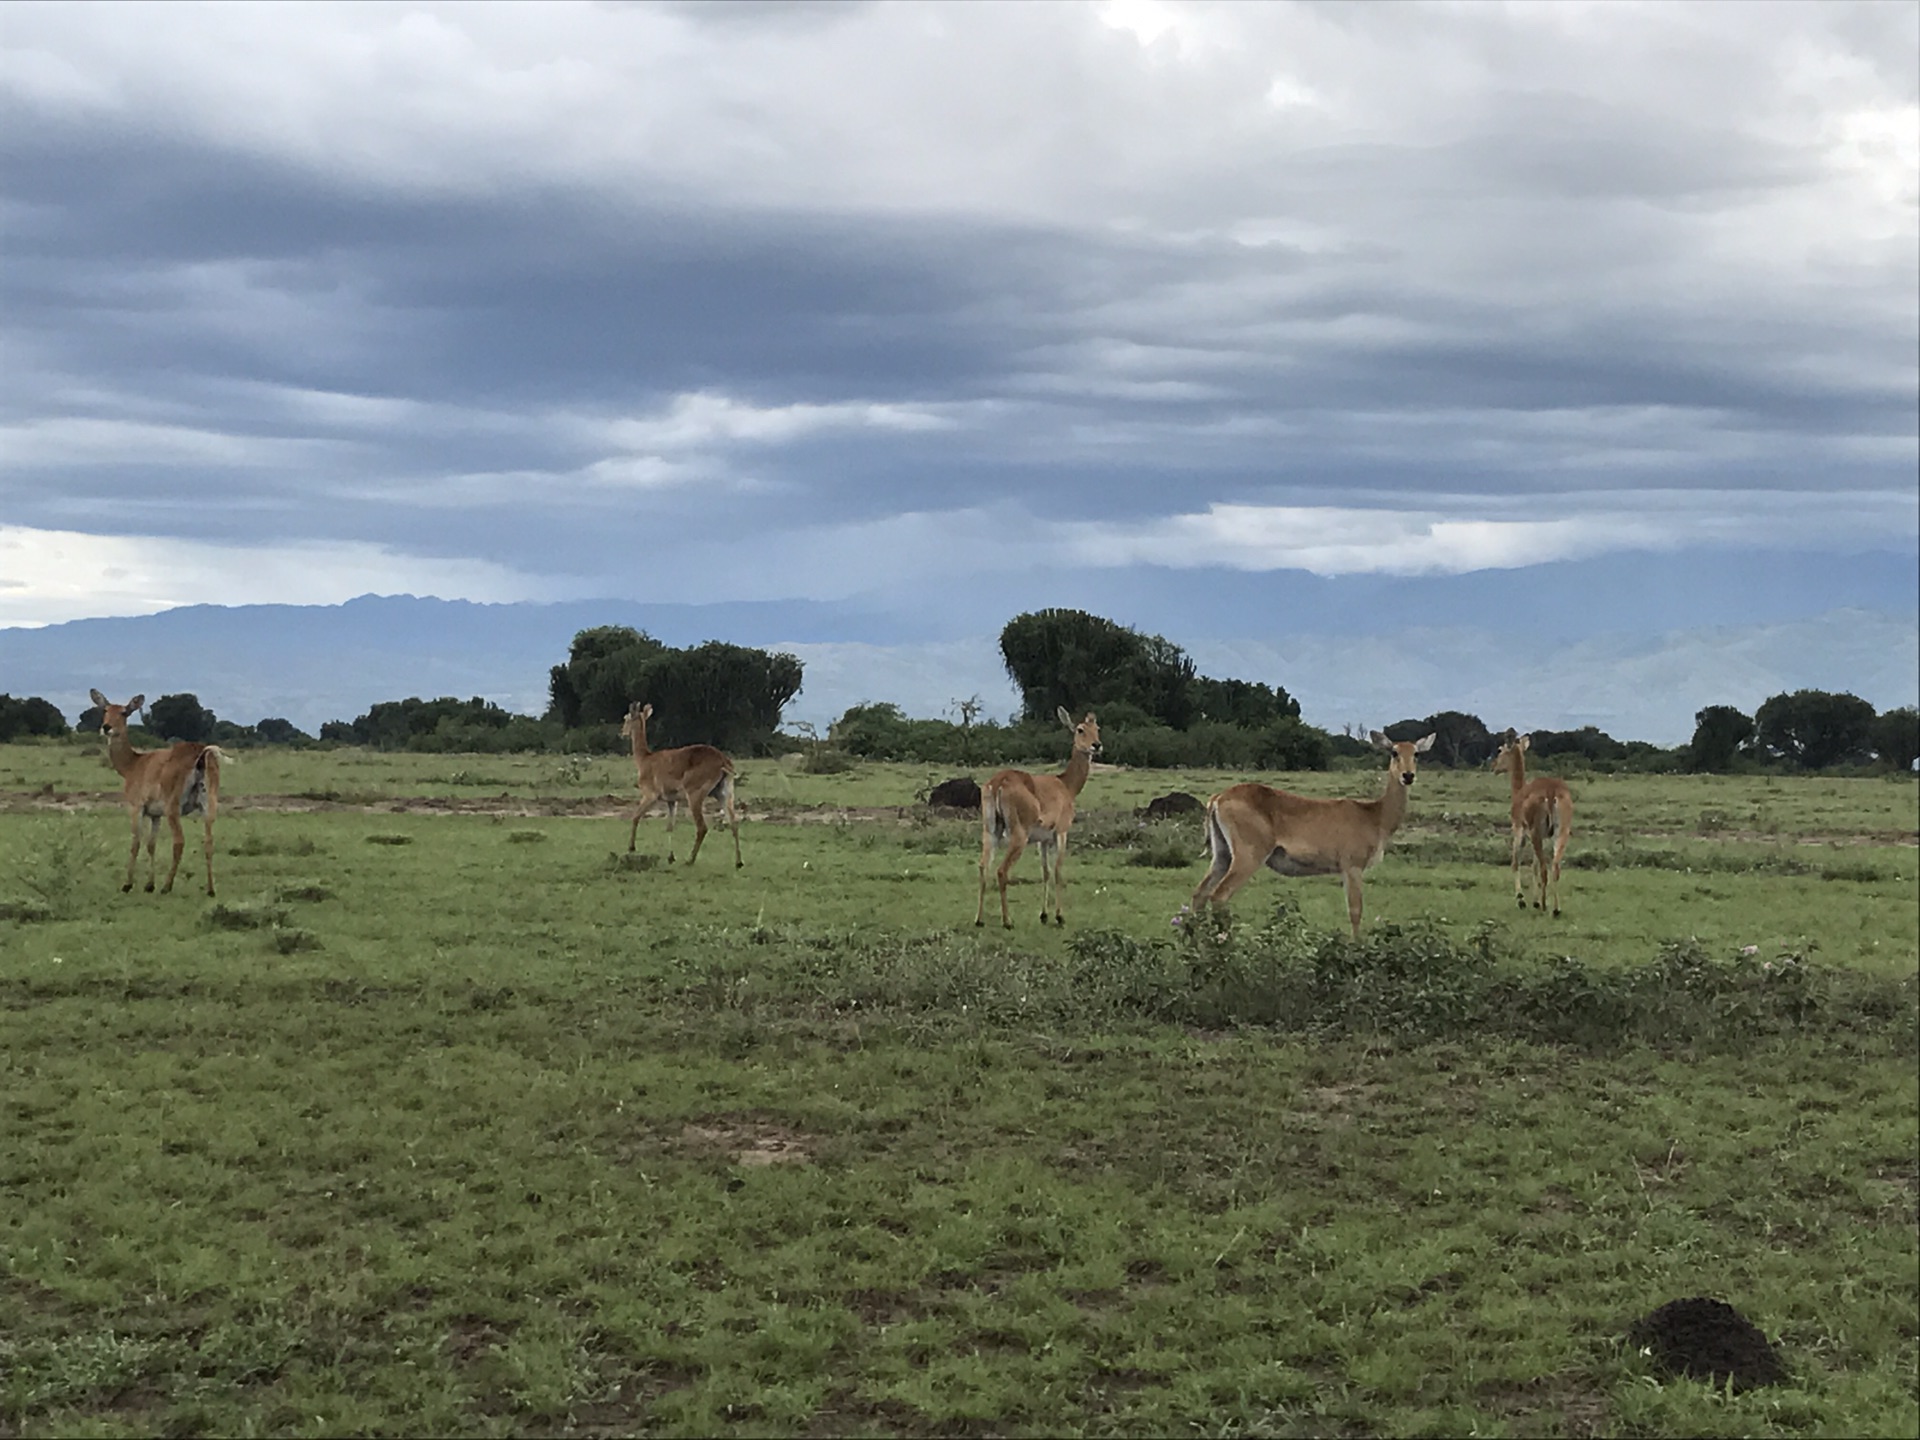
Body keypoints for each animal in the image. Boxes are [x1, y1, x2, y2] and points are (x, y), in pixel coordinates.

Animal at [91, 691, 230, 902]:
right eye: (105, 710)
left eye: (124, 712)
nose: (107, 727)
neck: (133, 765)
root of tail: (201, 753)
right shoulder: (155, 815)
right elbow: (151, 845)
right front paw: (149, 885)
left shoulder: (136, 808)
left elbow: (136, 843)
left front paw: (128, 884)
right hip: (208, 806)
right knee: (209, 842)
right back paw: (210, 889)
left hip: (174, 809)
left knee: (179, 842)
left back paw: (167, 886)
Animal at [618, 698, 737, 867]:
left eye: (627, 717)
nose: (622, 733)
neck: (645, 759)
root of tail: (723, 761)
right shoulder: (671, 800)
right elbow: (670, 827)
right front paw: (670, 857)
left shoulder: (650, 795)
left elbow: (635, 817)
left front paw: (631, 847)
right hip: (724, 793)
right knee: (733, 823)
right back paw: (738, 863)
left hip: (694, 795)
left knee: (702, 827)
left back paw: (690, 860)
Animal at [975, 706, 1098, 929]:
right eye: (1080, 729)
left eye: (1097, 728)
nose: (1097, 745)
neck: (1066, 785)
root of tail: (998, 782)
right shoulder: (1061, 833)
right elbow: (1058, 871)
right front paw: (1059, 916)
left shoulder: (1043, 840)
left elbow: (1046, 872)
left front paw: (1044, 915)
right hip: (1018, 836)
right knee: (1001, 871)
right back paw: (1007, 921)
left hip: (991, 831)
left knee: (983, 866)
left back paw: (979, 920)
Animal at [1182, 725, 1443, 940]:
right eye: (1394, 752)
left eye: (1416, 753)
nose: (1408, 775)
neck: (1374, 815)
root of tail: (1218, 798)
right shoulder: (1352, 867)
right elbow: (1355, 911)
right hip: (1248, 856)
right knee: (1219, 896)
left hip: (1222, 855)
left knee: (1199, 894)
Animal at [1482, 737, 1574, 917]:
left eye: (1500, 749)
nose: (1493, 766)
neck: (1519, 792)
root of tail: (1551, 791)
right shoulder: (1543, 837)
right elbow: (1534, 865)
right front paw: (1534, 901)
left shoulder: (1519, 830)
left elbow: (1516, 862)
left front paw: (1522, 900)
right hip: (1560, 834)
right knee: (1554, 867)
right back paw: (1556, 909)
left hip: (1535, 833)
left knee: (1544, 869)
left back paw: (1544, 906)